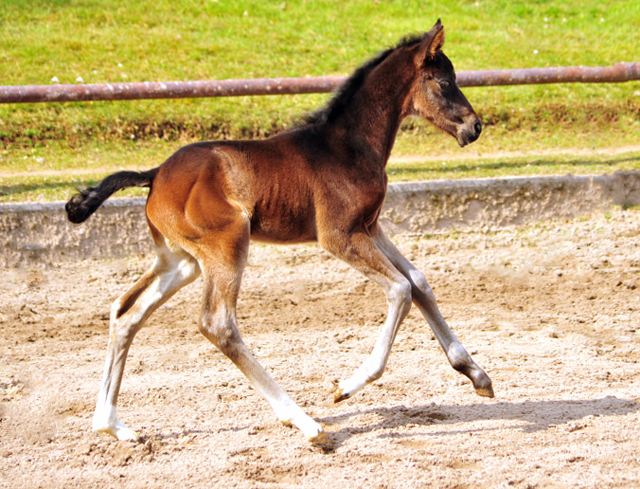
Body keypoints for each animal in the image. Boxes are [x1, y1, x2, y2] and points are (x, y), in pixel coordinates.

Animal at [67, 21, 492, 444]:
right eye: (444, 82)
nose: (475, 127)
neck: (347, 147)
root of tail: (154, 175)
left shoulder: (370, 227)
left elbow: (418, 281)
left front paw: (476, 374)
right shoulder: (339, 235)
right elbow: (400, 289)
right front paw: (347, 386)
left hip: (181, 260)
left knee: (126, 313)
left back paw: (111, 424)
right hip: (227, 244)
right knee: (218, 324)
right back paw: (304, 422)